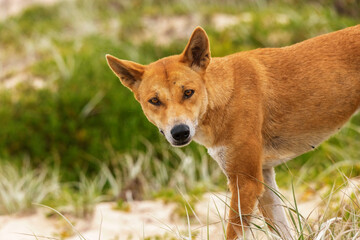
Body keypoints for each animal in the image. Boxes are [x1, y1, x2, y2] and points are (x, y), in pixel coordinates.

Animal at [106, 25, 360, 239]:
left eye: (188, 92)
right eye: (155, 101)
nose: (180, 132)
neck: (222, 99)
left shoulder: (246, 182)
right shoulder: (262, 179)